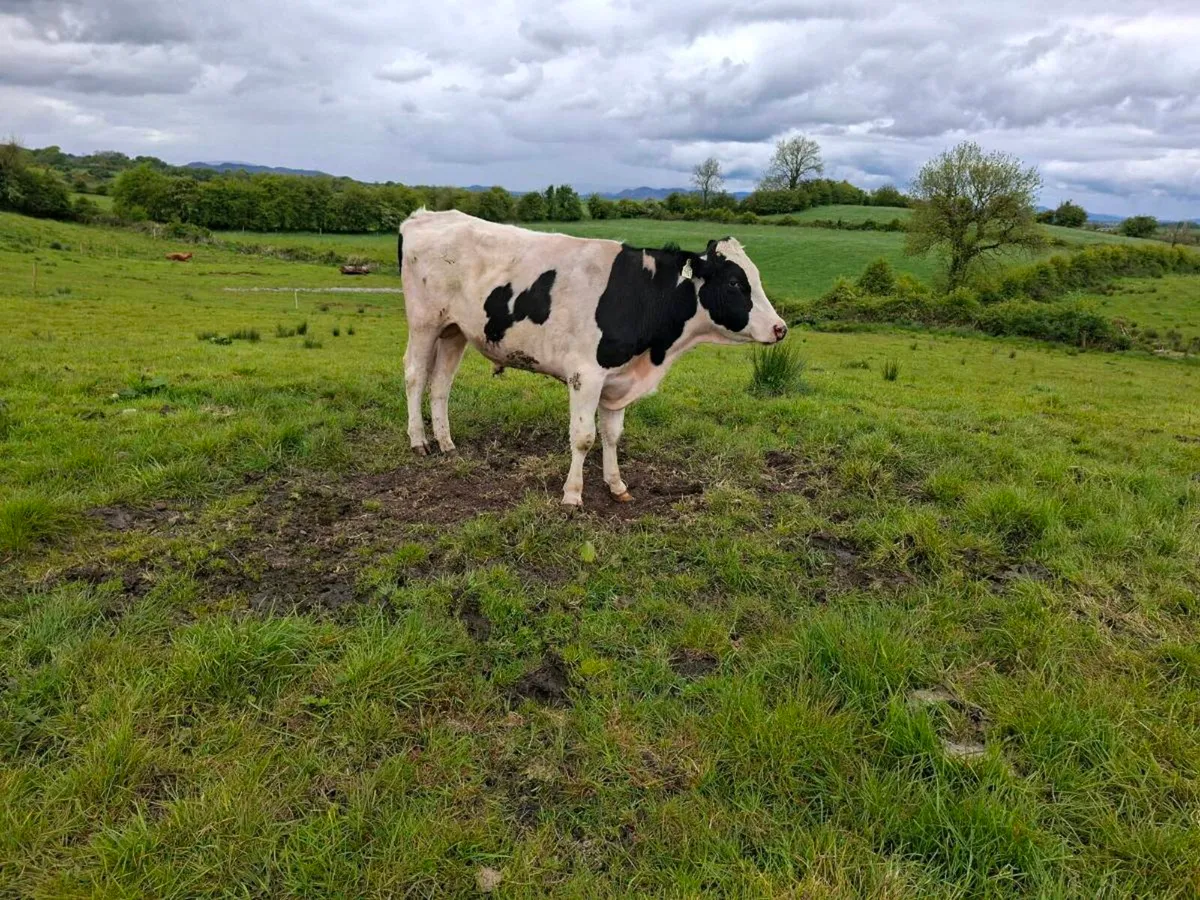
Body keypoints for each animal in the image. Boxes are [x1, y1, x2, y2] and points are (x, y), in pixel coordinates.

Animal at [398, 209, 788, 507]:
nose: (780, 328)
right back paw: (419, 442)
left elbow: (612, 435)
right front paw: (572, 495)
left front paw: (616, 485)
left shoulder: (617, 379)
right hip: (424, 322)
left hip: (454, 330)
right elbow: (584, 436)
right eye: (735, 283)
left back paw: (447, 444)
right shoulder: (585, 375)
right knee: (415, 375)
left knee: (440, 385)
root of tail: (426, 215)